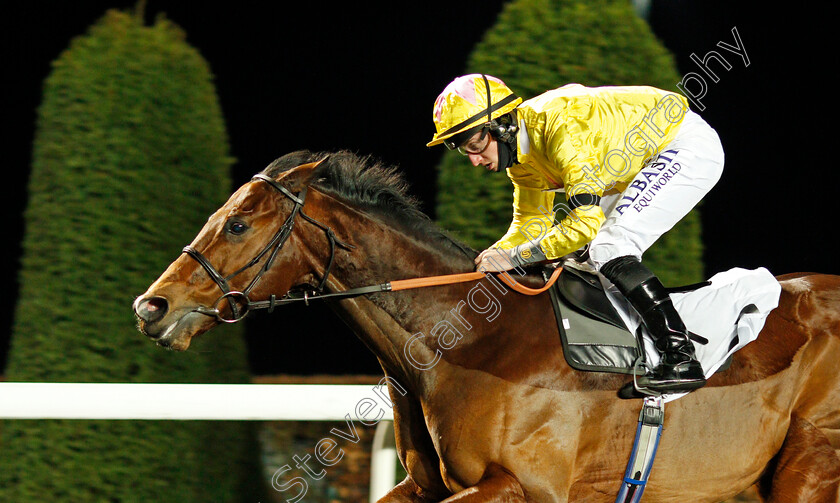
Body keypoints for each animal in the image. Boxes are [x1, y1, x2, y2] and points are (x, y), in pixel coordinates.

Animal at [133, 151, 840, 503]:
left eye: (238, 223)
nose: (151, 307)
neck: (463, 340)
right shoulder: (425, 487)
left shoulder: (527, 487)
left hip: (807, 465)